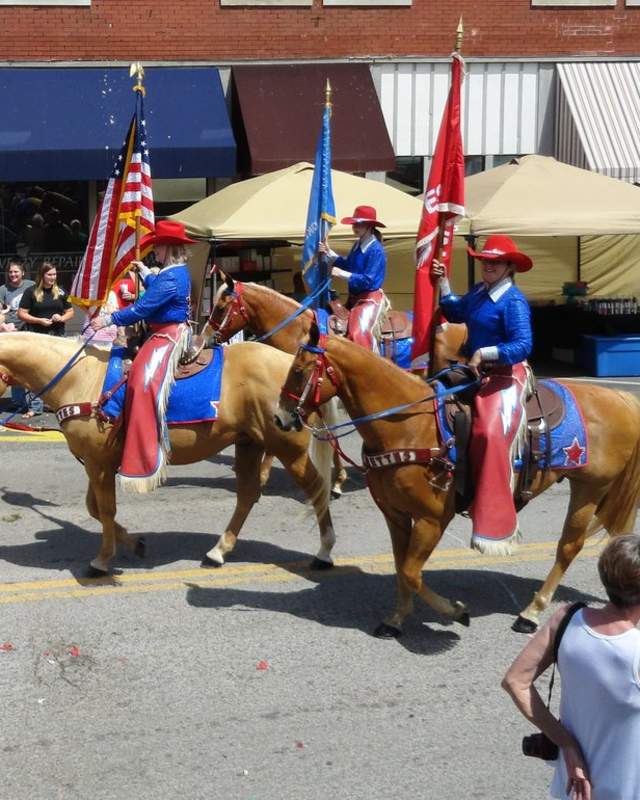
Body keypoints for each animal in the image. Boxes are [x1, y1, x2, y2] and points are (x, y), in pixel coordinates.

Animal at [0, 332, 338, 576]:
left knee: (316, 488)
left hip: (288, 449)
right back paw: (219, 550)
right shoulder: (97, 463)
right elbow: (94, 509)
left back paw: (324, 551)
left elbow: (105, 510)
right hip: (249, 444)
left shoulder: (98, 464)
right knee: (248, 495)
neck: (80, 378)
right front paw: (134, 543)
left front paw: (102, 560)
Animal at [276, 324, 640, 636]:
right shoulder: (395, 515)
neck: (407, 426)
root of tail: (621, 399)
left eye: (299, 371)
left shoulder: (432, 519)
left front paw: (455, 610)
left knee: (568, 547)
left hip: (590, 487)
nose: (279, 418)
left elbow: (412, 571)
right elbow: (401, 568)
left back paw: (531, 613)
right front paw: (396, 619)